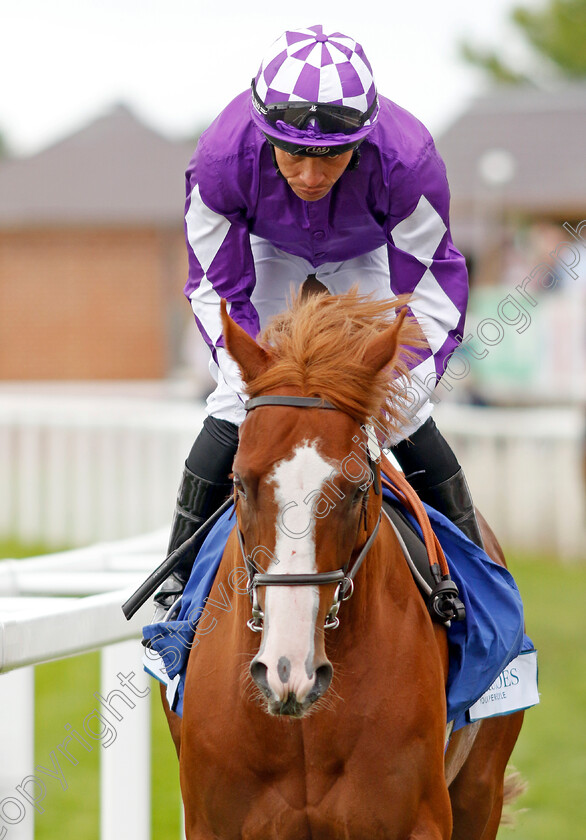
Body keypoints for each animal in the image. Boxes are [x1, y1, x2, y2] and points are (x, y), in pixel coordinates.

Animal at [161, 290, 524, 840]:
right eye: (239, 482)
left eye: (355, 490)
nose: (288, 668)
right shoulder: (212, 822)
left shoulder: (417, 819)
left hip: (480, 790)